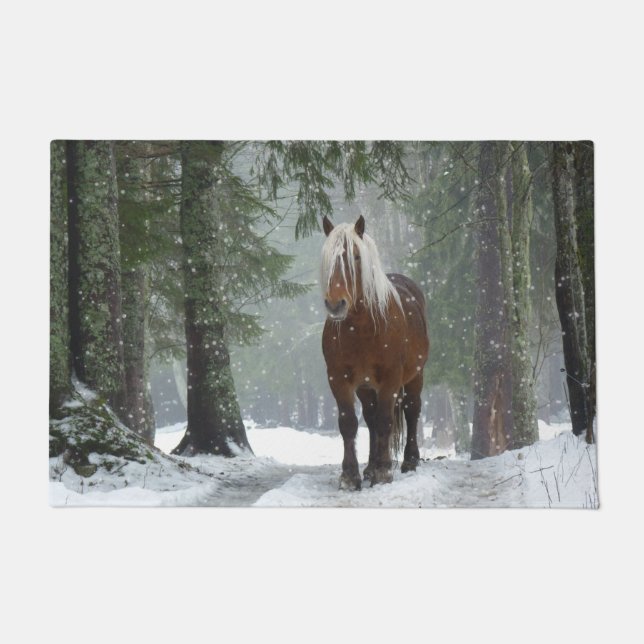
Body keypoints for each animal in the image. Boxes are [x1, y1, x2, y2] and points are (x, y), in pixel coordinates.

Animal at [320, 215, 430, 490]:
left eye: (356, 257)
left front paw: (383, 472)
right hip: (365, 386)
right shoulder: (339, 379)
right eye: (327, 258)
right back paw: (369, 467)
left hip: (415, 376)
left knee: (411, 410)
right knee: (369, 419)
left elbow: (385, 421)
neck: (361, 328)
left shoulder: (391, 378)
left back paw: (408, 461)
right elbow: (349, 423)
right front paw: (350, 476)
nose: (335, 304)